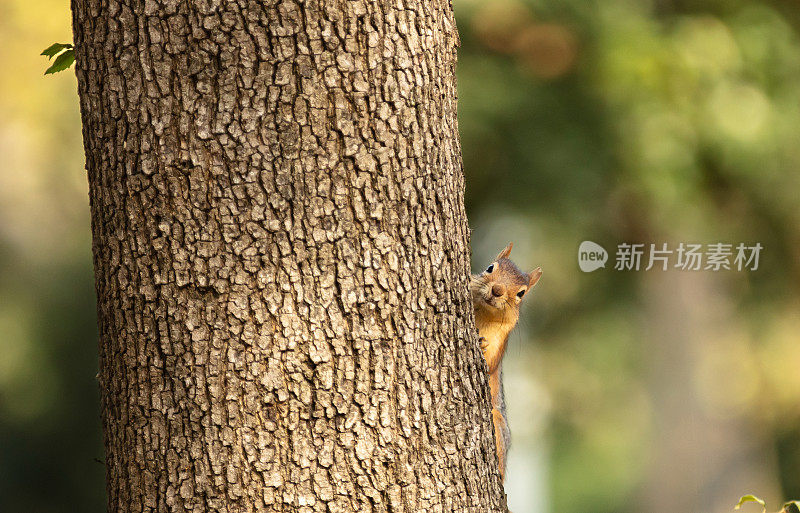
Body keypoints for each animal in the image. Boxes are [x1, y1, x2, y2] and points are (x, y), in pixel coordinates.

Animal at [468, 242, 544, 482]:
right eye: (490, 267)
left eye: (521, 293)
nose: (497, 290)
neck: (483, 313)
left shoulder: (499, 343)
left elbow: (489, 365)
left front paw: (481, 345)